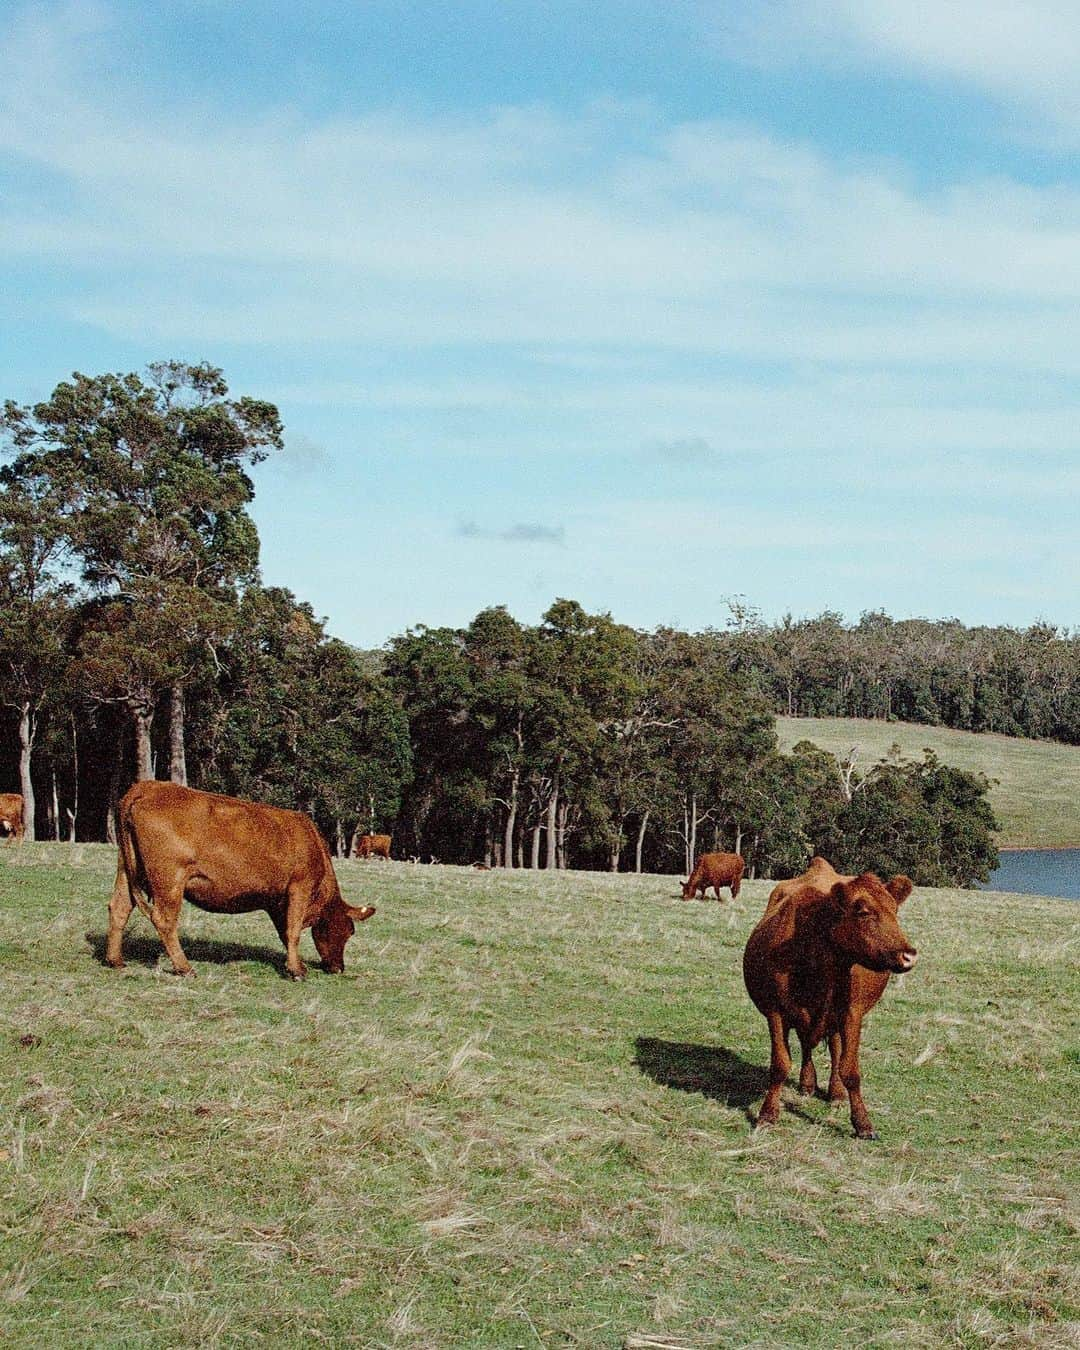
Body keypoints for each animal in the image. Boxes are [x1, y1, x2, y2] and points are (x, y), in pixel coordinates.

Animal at [105, 783, 375, 982]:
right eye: (348, 931)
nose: (338, 968)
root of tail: (148, 786)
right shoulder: (300, 886)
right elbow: (294, 931)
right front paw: (297, 970)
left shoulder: (277, 900)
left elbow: (285, 932)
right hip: (170, 879)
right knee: (164, 919)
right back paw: (185, 968)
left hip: (127, 870)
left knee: (119, 907)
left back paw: (115, 960)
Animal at [745, 853, 918, 1139]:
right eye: (863, 912)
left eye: (895, 911)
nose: (909, 955)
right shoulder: (775, 1012)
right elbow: (780, 1065)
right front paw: (767, 1115)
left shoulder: (852, 1013)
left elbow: (850, 1069)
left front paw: (863, 1123)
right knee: (806, 1045)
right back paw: (807, 1084)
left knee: (835, 1050)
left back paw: (835, 1093)